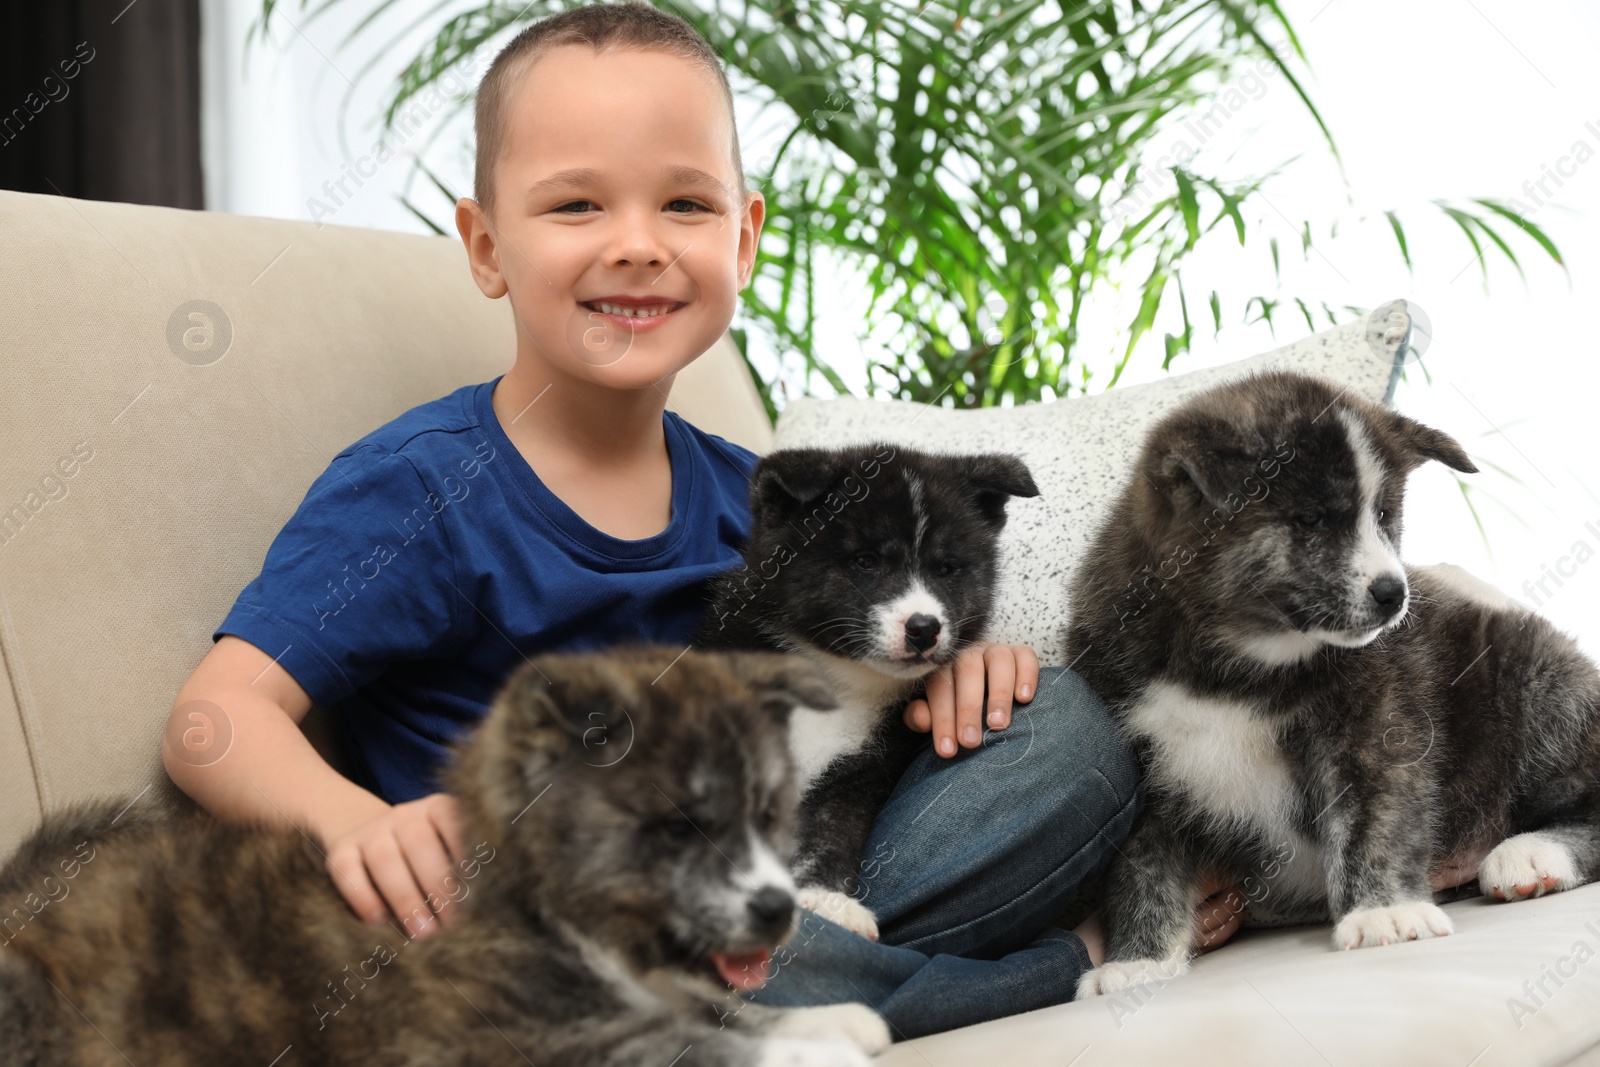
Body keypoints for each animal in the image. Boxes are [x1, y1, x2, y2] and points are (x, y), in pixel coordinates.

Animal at [1062, 371, 1600, 998]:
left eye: (1385, 515)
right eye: (1312, 519)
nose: (1395, 593)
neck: (1232, 667)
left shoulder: (1375, 727)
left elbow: (1375, 820)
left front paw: (1383, 912)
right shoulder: (1142, 773)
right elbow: (1143, 870)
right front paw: (1138, 963)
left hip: (1538, 681)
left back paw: (1533, 853)